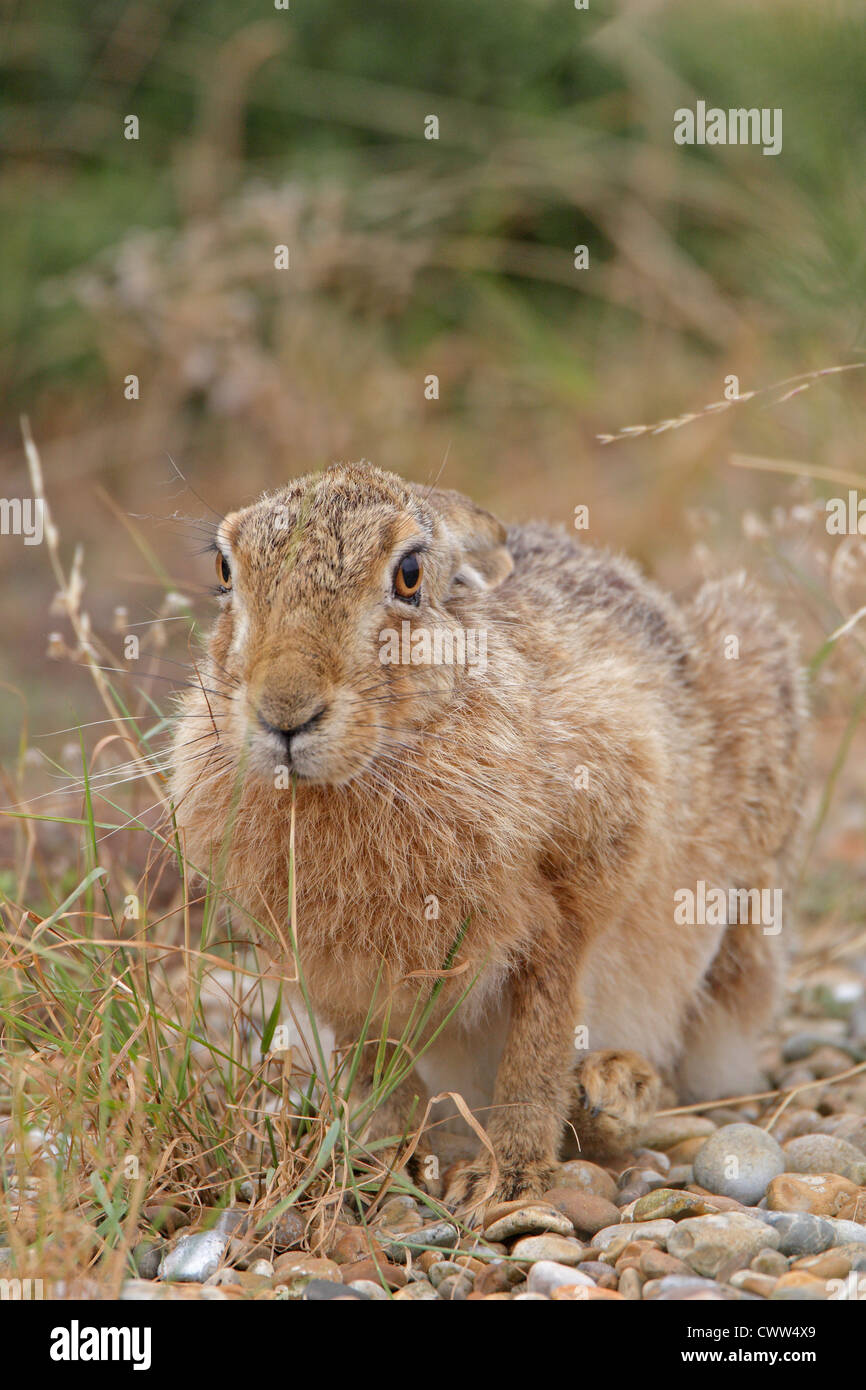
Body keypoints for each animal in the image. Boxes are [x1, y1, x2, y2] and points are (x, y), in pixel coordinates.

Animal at [170, 462, 808, 1217]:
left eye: (409, 574)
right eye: (224, 569)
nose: (284, 711)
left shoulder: (571, 903)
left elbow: (539, 1037)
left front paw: (508, 1176)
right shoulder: (329, 971)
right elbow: (375, 1062)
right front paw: (391, 1168)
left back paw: (615, 1092)